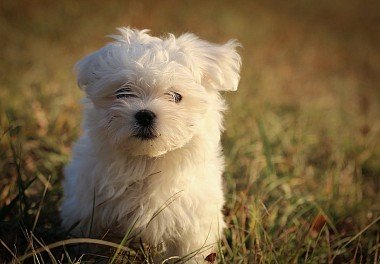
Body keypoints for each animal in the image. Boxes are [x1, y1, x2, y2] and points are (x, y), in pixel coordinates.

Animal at [61, 27, 242, 262]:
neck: (148, 163)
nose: (145, 115)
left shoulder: (194, 222)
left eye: (176, 96)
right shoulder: (89, 210)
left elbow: (189, 252)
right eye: (123, 92)